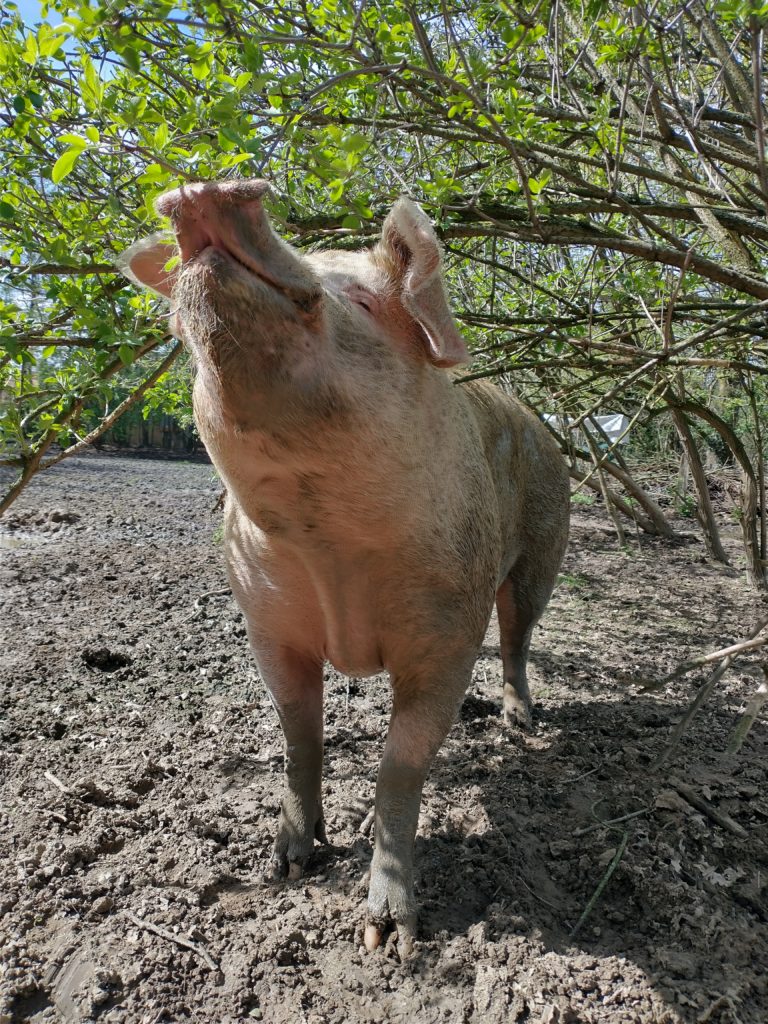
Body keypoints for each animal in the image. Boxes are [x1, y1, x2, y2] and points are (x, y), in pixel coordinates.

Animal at [121, 180, 573, 954]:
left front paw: (388, 936)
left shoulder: (447, 630)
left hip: (543, 548)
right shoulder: (267, 619)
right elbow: (300, 737)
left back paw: (522, 724)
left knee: (517, 638)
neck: (330, 550)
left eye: (362, 300)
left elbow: (402, 765)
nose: (207, 191)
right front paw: (287, 865)